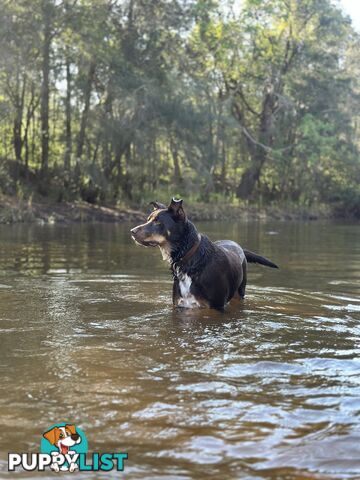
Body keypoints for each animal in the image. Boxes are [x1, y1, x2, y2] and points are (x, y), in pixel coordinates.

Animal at [131, 199, 280, 312]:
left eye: (157, 221)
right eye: (148, 219)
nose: (132, 231)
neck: (189, 261)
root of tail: (238, 245)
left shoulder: (216, 307)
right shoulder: (180, 305)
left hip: (240, 292)